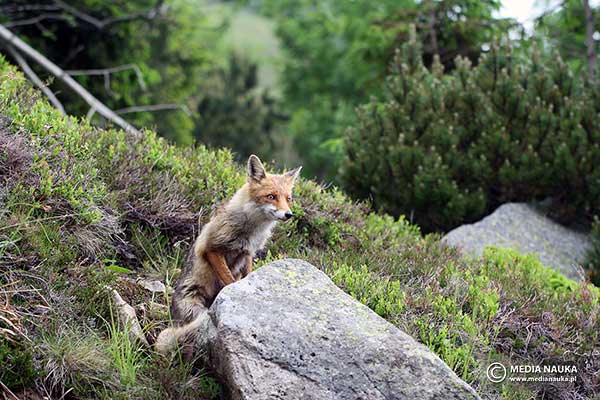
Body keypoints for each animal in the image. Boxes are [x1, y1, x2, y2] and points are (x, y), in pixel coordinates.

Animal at [157, 155, 302, 358]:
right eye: (271, 196)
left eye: (288, 199)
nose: (289, 214)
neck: (251, 229)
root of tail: (172, 313)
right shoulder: (212, 248)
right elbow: (228, 279)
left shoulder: (247, 253)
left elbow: (245, 276)